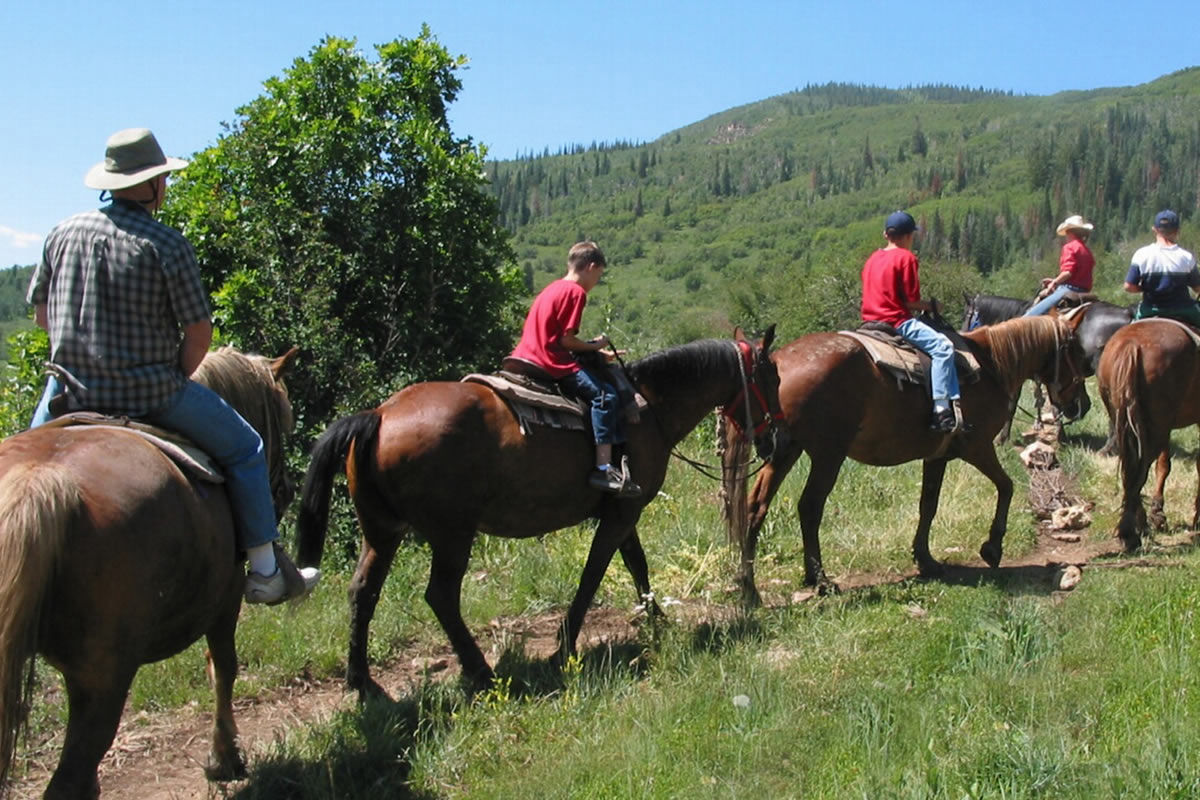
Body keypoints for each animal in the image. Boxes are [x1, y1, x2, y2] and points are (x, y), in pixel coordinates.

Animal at [0, 347, 298, 800]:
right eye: (283, 420)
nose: (286, 491)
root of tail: (38, 481)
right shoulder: (225, 598)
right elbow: (223, 666)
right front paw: (224, 757)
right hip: (104, 679)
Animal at [290, 331, 777, 695]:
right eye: (770, 377)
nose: (774, 438)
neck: (649, 406)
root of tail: (379, 415)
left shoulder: (625, 508)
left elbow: (636, 564)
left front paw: (657, 619)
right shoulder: (621, 513)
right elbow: (594, 574)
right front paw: (564, 645)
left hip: (382, 531)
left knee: (363, 591)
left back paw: (361, 681)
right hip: (451, 534)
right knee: (441, 596)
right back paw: (481, 672)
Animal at [720, 316, 1089, 604]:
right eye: (1077, 352)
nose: (1081, 405)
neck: (991, 365)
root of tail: (780, 359)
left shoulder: (937, 456)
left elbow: (929, 505)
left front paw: (925, 560)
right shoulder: (978, 447)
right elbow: (1007, 486)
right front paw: (992, 547)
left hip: (783, 450)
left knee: (755, 506)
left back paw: (750, 586)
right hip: (828, 455)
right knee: (809, 507)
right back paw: (819, 579)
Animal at [1099, 319, 1200, 551]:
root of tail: (1131, 345)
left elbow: (1163, 466)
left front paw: (1158, 514)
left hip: (1132, 424)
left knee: (1131, 470)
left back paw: (1139, 525)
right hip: (1153, 430)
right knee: (1139, 470)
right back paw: (1130, 533)